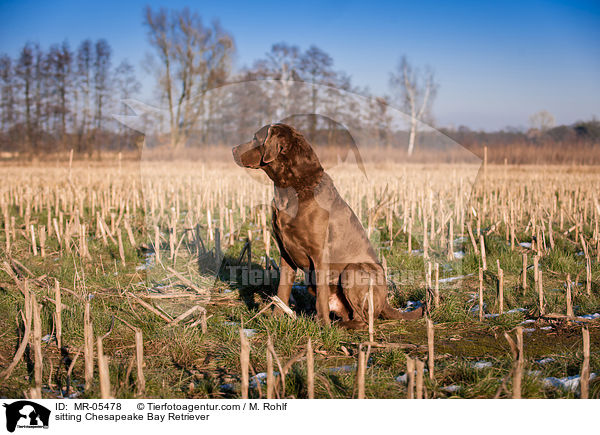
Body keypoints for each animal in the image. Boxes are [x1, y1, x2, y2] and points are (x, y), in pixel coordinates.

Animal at [232, 124, 424, 328]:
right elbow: (282, 291)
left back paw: (338, 326)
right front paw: (275, 319)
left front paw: (322, 326)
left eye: (255, 138)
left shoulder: (320, 254)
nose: (233, 149)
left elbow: (321, 298)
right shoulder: (286, 255)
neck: (292, 188)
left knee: (363, 320)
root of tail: (386, 301)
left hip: (353, 271)